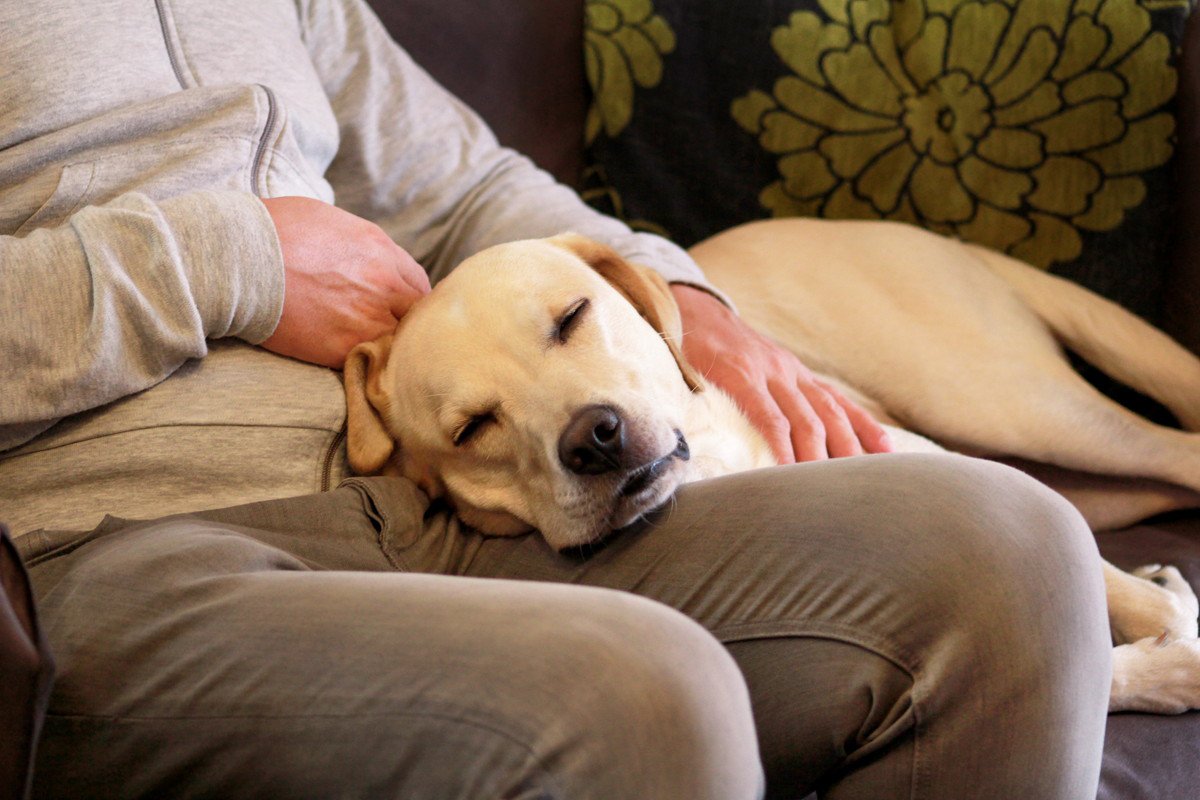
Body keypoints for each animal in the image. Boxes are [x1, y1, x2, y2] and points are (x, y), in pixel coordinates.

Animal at [340, 225, 1200, 714]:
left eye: (571, 317)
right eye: (471, 427)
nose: (595, 439)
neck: (710, 465)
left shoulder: (915, 450)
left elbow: (1112, 596)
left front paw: (1170, 631)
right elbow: (1089, 653)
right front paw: (1170, 662)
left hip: (1003, 406)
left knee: (1169, 454)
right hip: (1061, 461)